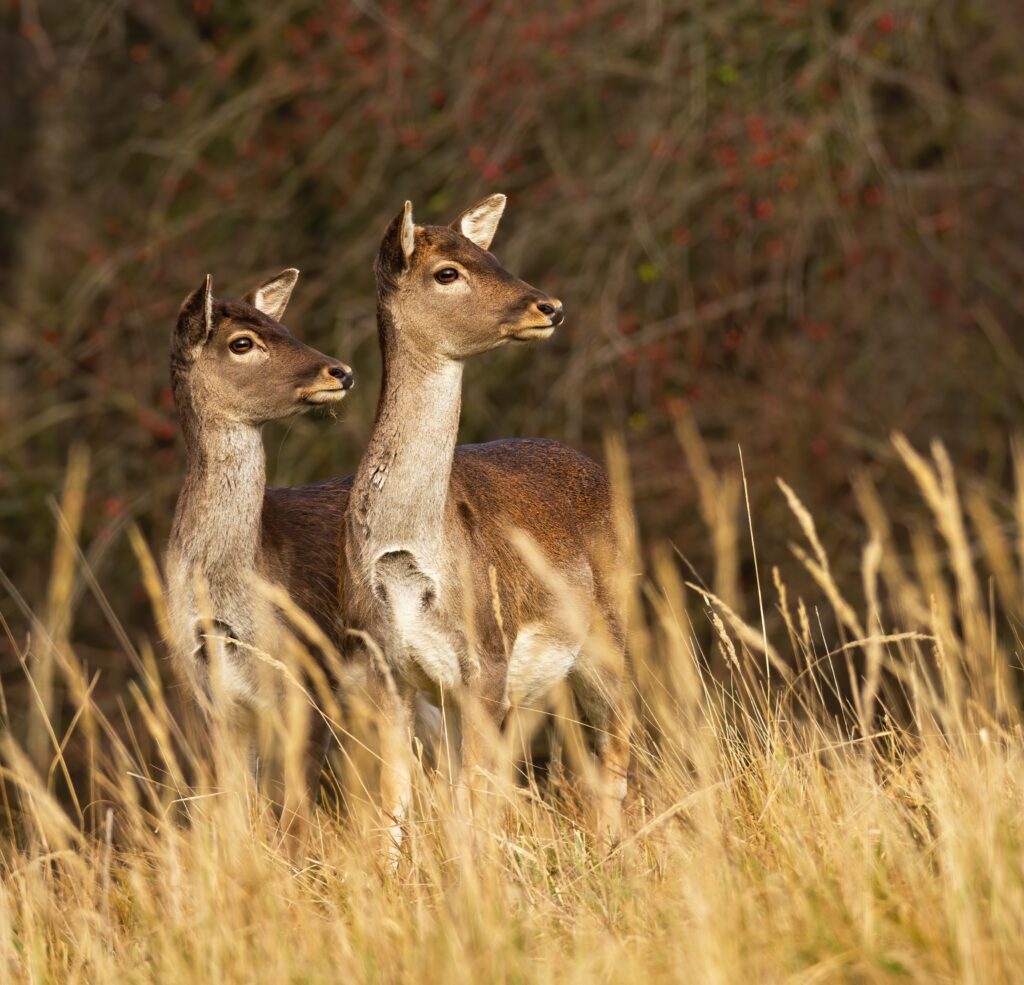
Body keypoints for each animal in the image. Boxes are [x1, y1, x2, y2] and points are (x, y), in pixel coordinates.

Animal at [165, 268, 358, 815]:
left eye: (284, 326)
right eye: (242, 343)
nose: (341, 371)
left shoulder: (312, 679)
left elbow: (296, 813)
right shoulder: (211, 702)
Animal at [344, 193, 630, 851]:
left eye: (491, 254)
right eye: (447, 271)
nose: (548, 305)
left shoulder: (488, 658)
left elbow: (470, 811)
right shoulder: (382, 670)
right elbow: (393, 810)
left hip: (609, 627)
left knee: (617, 745)